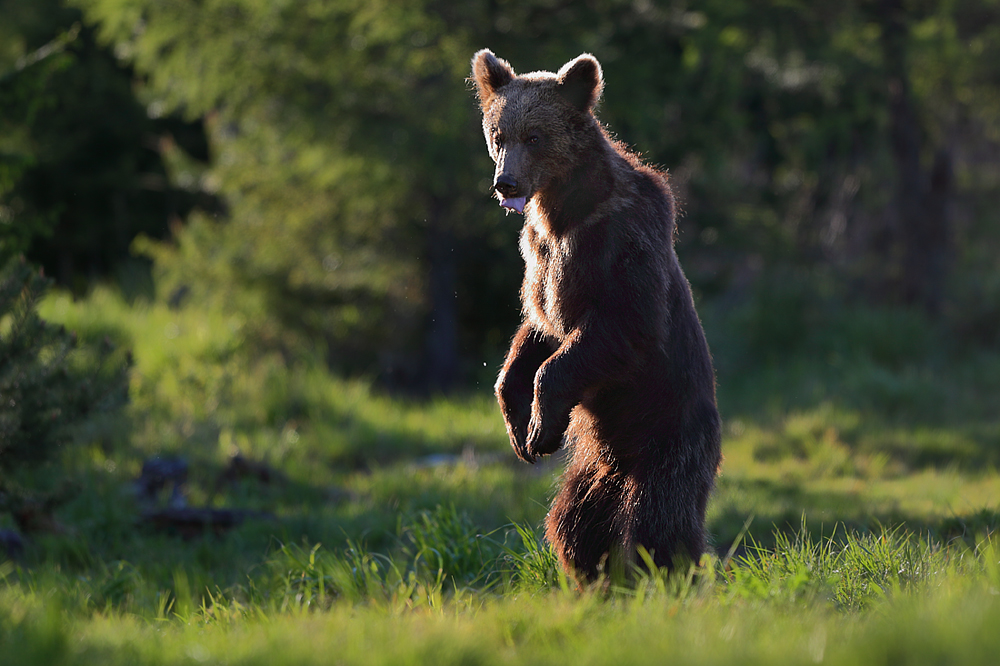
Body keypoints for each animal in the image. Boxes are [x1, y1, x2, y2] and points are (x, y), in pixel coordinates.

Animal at [472, 49, 724, 580]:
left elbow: (620, 326)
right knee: (576, 524)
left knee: (659, 522)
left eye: (535, 135)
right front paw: (520, 426)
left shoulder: (622, 240)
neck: (561, 211)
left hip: (668, 435)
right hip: (594, 467)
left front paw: (539, 427)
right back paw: (596, 576)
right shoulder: (539, 254)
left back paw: (671, 576)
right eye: (498, 135)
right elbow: (538, 327)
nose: (506, 182)